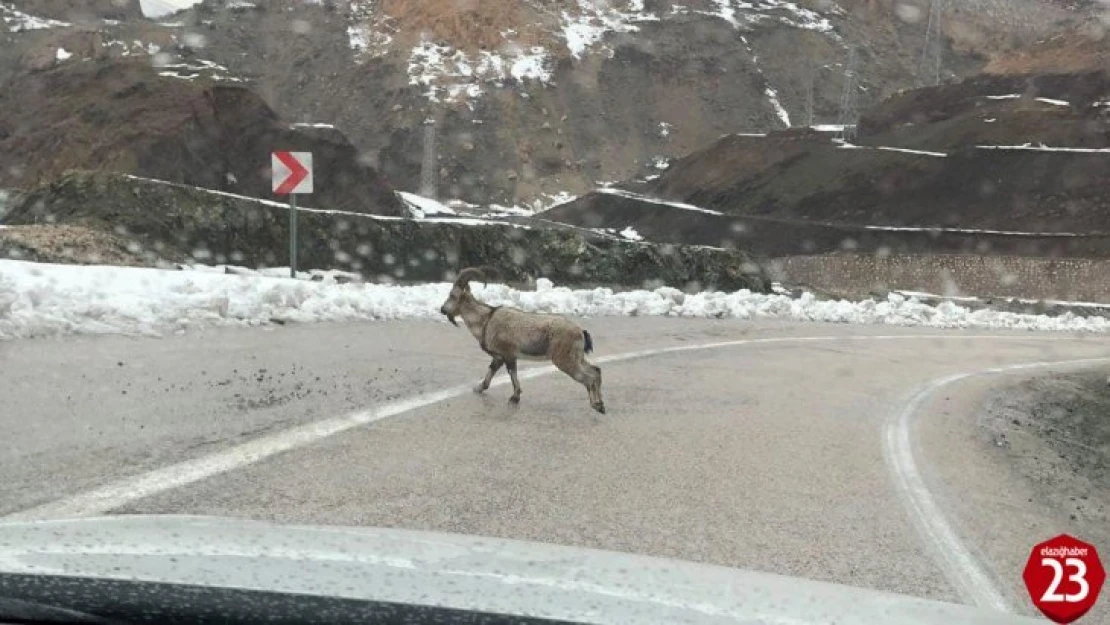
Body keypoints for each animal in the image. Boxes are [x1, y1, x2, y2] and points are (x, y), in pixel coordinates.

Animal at [437, 265, 603, 415]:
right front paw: (479, 388)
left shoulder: (508, 354)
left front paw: (514, 398)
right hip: (577, 358)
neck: (486, 320)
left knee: (588, 378)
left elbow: (512, 374)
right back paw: (601, 403)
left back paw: (597, 406)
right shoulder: (499, 357)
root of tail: (580, 331)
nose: (442, 309)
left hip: (564, 360)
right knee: (596, 371)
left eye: (452, 295)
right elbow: (491, 371)